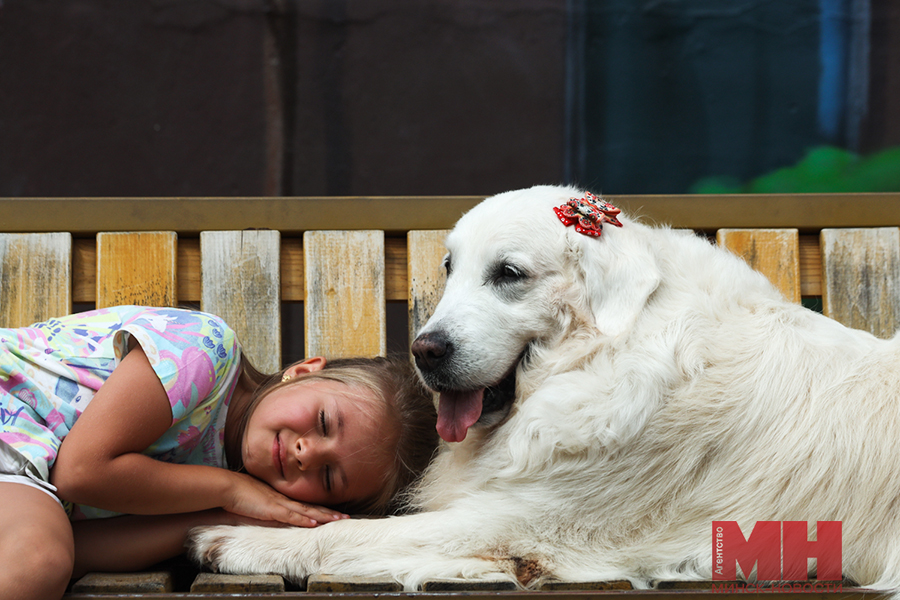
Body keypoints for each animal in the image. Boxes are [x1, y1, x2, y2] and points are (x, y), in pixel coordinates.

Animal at [188, 185, 900, 588]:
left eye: (508, 274)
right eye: (449, 267)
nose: (424, 350)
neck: (605, 356)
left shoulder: (520, 523)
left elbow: (346, 535)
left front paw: (236, 541)